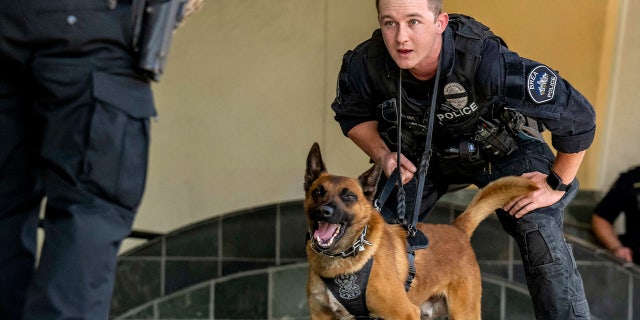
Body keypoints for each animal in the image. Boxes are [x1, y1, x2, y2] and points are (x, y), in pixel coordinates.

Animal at [302, 143, 536, 320]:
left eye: (349, 196)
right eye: (318, 192)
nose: (324, 212)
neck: (341, 258)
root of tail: (457, 228)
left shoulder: (405, 313)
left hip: (463, 313)